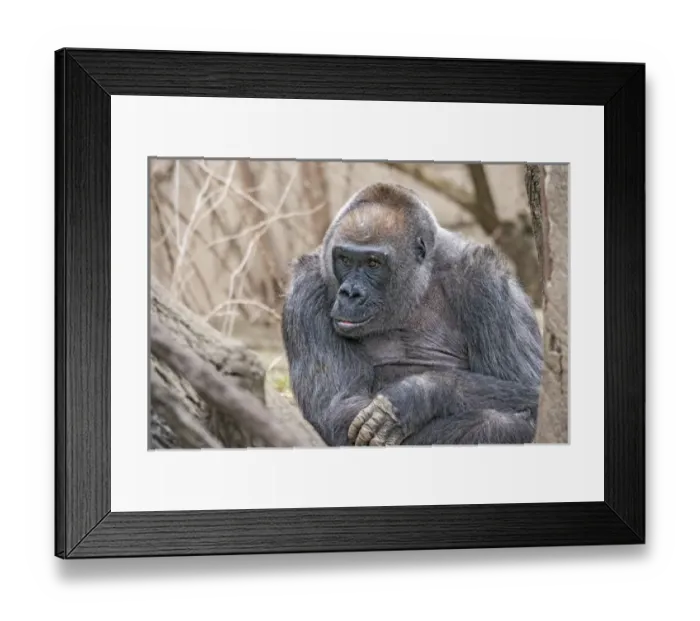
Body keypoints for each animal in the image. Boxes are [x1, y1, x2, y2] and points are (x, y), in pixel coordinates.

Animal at [281, 182, 543, 447]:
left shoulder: (484, 277)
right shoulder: (306, 288)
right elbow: (339, 408)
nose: (350, 293)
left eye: (373, 263)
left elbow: (531, 387)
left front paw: (417, 395)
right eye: (344, 259)